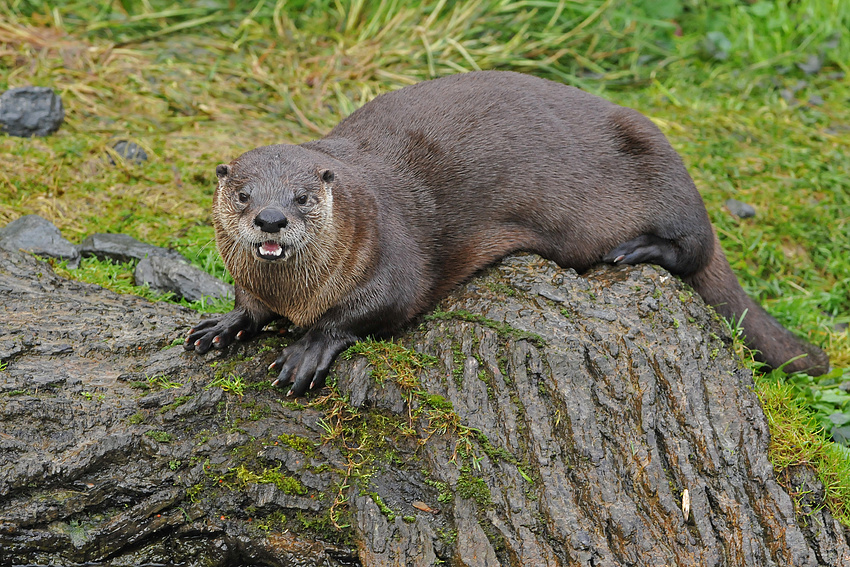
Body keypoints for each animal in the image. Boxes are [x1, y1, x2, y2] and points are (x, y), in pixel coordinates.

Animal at [184, 70, 828, 394]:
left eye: (301, 196)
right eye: (243, 194)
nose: (271, 218)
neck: (298, 295)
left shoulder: (395, 253)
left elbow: (373, 308)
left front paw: (309, 348)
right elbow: (248, 303)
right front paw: (225, 324)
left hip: (666, 170)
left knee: (694, 248)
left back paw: (636, 249)